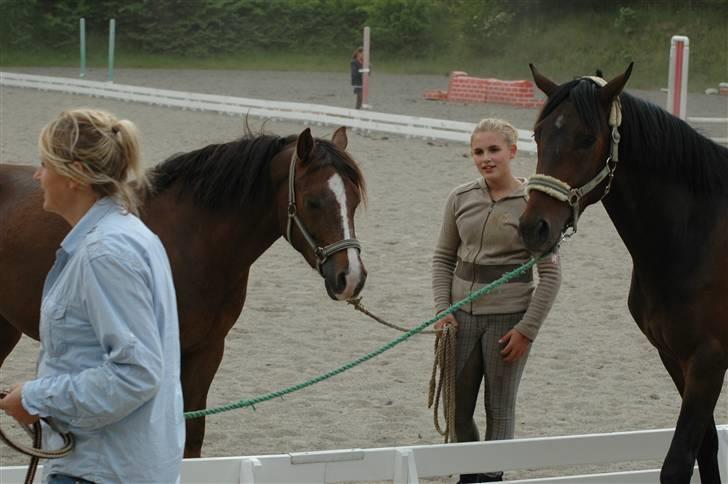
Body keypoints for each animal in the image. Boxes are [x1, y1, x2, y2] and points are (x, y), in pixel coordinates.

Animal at [0, 125, 366, 458]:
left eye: (354, 201)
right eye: (313, 202)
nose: (351, 277)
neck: (194, 238)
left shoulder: (208, 349)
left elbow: (193, 432)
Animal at [520, 64, 724, 484]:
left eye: (586, 139)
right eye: (538, 134)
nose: (535, 228)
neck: (696, 234)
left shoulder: (709, 360)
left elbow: (678, 462)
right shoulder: (675, 356)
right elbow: (707, 448)